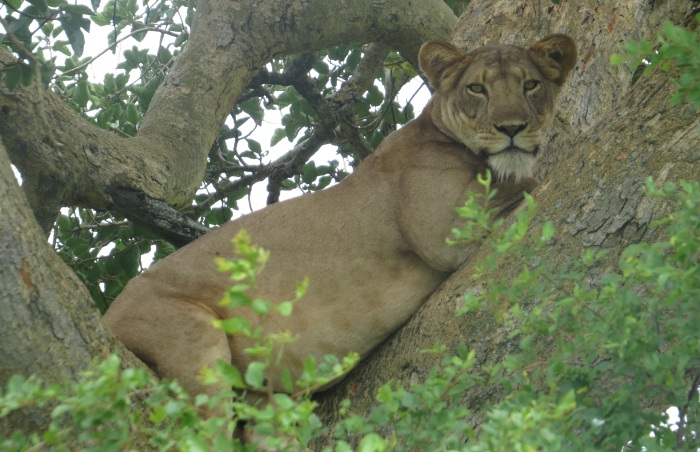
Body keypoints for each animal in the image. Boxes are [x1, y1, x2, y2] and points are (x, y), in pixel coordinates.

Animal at [104, 35, 577, 409]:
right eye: (477, 88)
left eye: (531, 85)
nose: (512, 128)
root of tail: (108, 314)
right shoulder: (443, 233)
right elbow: (530, 185)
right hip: (188, 337)